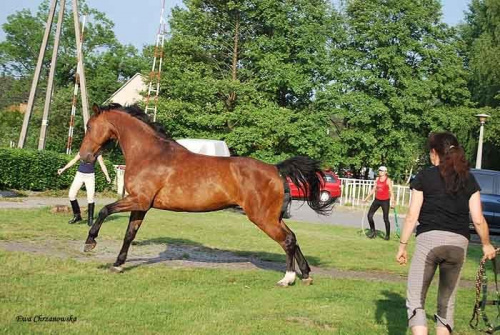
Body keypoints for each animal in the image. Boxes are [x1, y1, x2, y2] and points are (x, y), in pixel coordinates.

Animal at [79, 104, 336, 286]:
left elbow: (104, 210)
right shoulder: (141, 206)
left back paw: (288, 278)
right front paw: (118, 264)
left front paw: (90, 243)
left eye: (89, 126)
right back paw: (306, 275)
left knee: (288, 240)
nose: (84, 157)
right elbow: (129, 235)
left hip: (263, 218)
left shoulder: (138, 200)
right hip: (274, 217)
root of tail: (275, 169)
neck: (149, 154)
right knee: (293, 238)